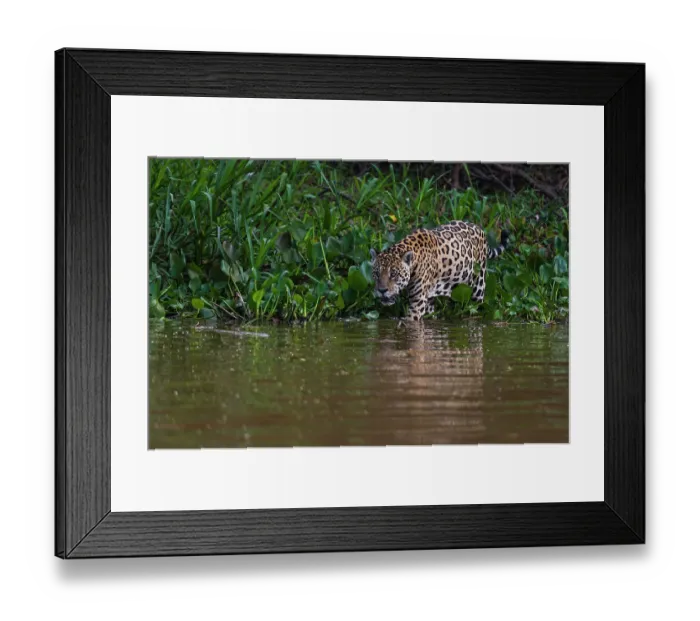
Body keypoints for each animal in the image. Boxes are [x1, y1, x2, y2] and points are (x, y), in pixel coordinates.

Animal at [370, 221, 509, 320]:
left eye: (393, 274)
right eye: (376, 274)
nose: (382, 290)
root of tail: (478, 228)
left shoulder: (417, 303)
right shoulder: (426, 303)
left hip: (478, 284)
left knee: (477, 304)